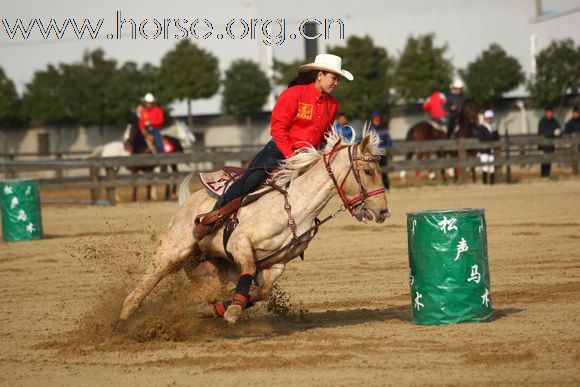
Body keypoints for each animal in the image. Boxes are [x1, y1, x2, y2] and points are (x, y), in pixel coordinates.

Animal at [114, 128, 390, 330]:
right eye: (368, 171)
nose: (383, 211)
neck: (294, 208)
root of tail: (190, 202)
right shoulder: (240, 243)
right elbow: (247, 272)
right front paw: (233, 310)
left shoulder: (275, 266)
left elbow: (259, 292)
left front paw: (215, 309)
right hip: (172, 251)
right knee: (140, 289)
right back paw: (121, 325)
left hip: (212, 270)